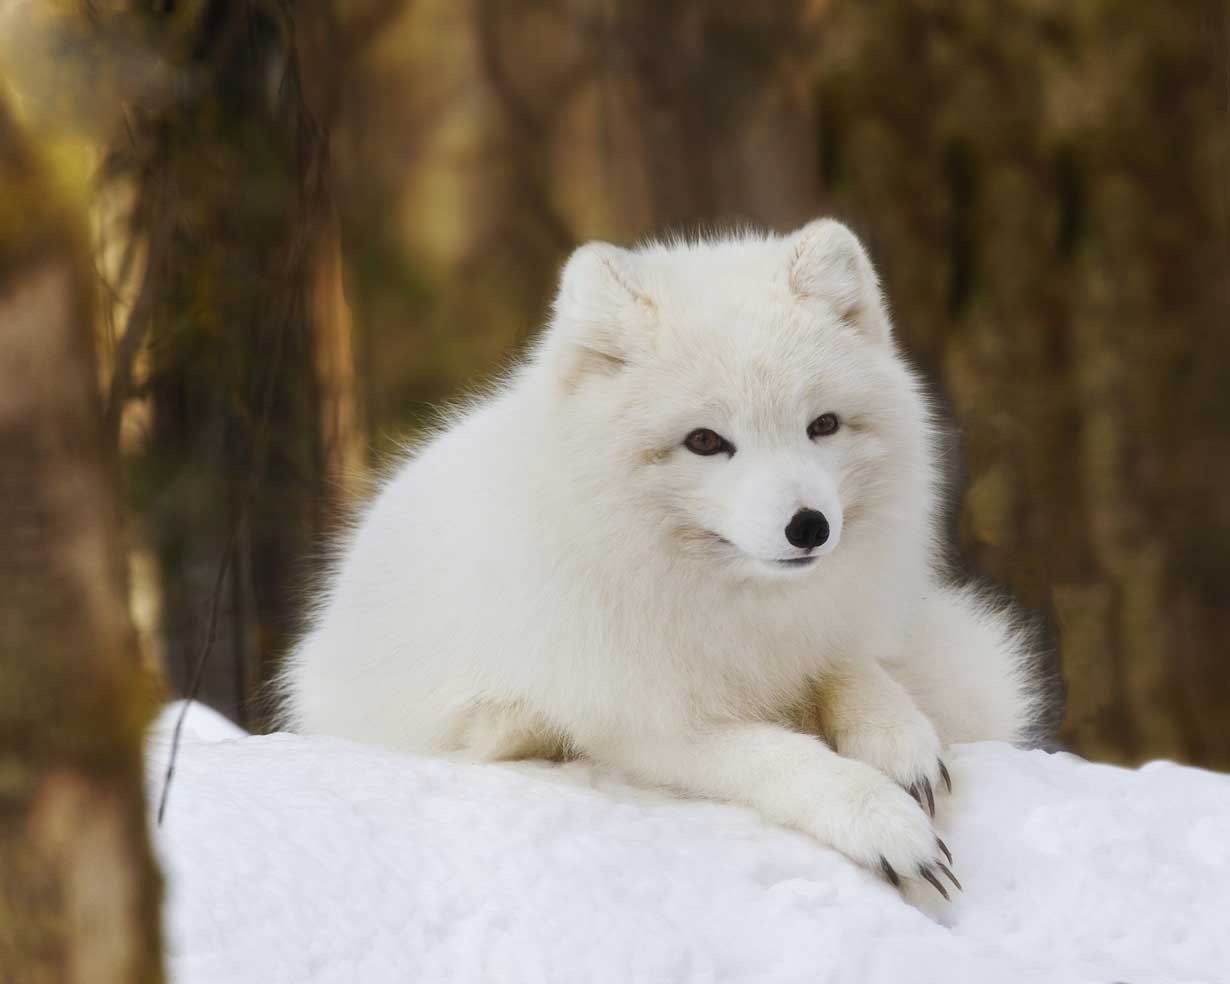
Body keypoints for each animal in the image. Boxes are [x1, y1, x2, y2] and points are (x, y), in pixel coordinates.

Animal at [279, 218, 1047, 895]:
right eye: (706, 441)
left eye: (823, 425)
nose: (809, 528)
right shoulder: (647, 723)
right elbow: (781, 756)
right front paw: (880, 817)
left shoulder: (816, 631)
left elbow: (852, 669)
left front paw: (898, 738)